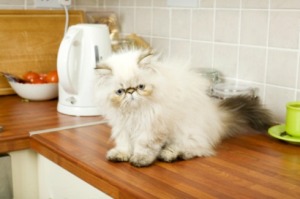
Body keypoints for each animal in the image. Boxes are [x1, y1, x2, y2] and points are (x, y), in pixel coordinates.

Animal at [94, 48, 274, 168]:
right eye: (120, 91)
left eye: (141, 87)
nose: (131, 92)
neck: (135, 112)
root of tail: (215, 115)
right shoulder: (123, 126)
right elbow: (124, 144)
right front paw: (121, 154)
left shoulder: (153, 127)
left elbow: (144, 146)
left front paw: (140, 159)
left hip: (187, 132)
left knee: (195, 149)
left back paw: (170, 154)